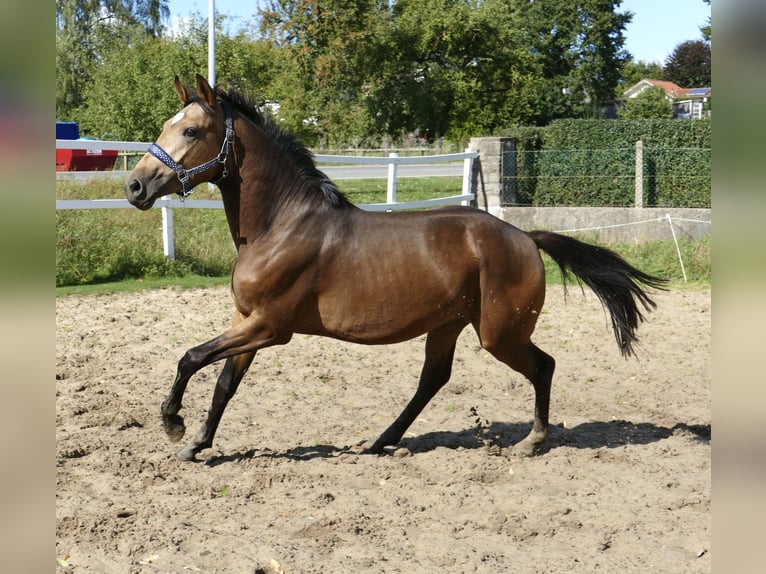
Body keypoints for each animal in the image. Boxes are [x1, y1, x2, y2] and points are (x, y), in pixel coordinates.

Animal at [124, 75, 664, 464]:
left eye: (191, 130)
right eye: (168, 125)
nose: (135, 186)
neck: (282, 225)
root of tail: (526, 238)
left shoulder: (271, 327)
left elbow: (190, 357)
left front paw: (173, 424)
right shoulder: (246, 322)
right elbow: (223, 384)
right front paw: (196, 444)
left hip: (499, 332)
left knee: (542, 366)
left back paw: (531, 441)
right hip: (449, 324)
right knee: (434, 380)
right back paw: (381, 440)